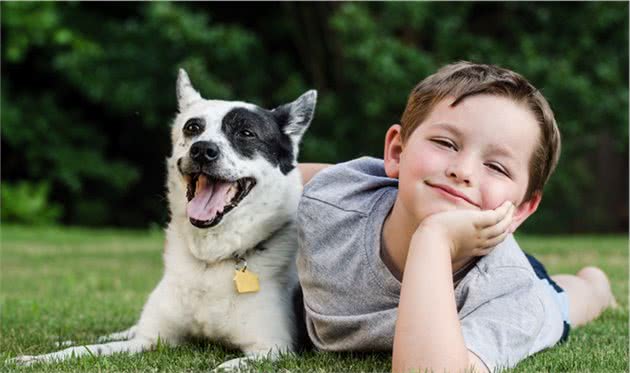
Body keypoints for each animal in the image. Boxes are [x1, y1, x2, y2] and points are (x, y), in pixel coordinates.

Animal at [13, 70, 320, 370]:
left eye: (246, 133)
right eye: (192, 128)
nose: (202, 150)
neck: (210, 262)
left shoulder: (273, 349)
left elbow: (227, 366)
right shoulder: (150, 339)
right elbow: (85, 350)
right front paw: (37, 358)